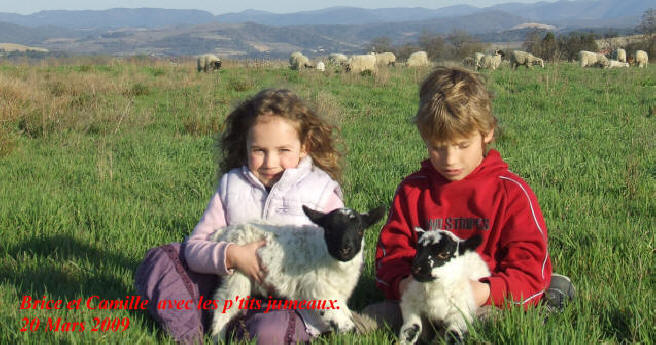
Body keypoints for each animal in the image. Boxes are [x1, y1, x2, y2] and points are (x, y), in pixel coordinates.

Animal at [209, 204, 384, 342]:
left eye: (360, 229)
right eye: (329, 229)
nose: (345, 248)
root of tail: (222, 233)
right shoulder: (317, 287)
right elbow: (338, 315)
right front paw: (350, 333)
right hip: (236, 275)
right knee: (223, 307)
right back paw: (217, 338)